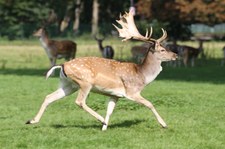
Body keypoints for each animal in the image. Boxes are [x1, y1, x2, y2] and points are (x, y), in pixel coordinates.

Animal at [26, 11, 178, 131]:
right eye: (162, 49)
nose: (176, 55)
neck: (141, 75)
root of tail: (62, 65)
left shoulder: (115, 95)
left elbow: (110, 110)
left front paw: (104, 128)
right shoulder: (131, 91)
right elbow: (150, 104)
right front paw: (164, 124)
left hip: (69, 85)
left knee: (49, 97)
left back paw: (31, 120)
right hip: (85, 81)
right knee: (79, 101)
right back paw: (100, 119)